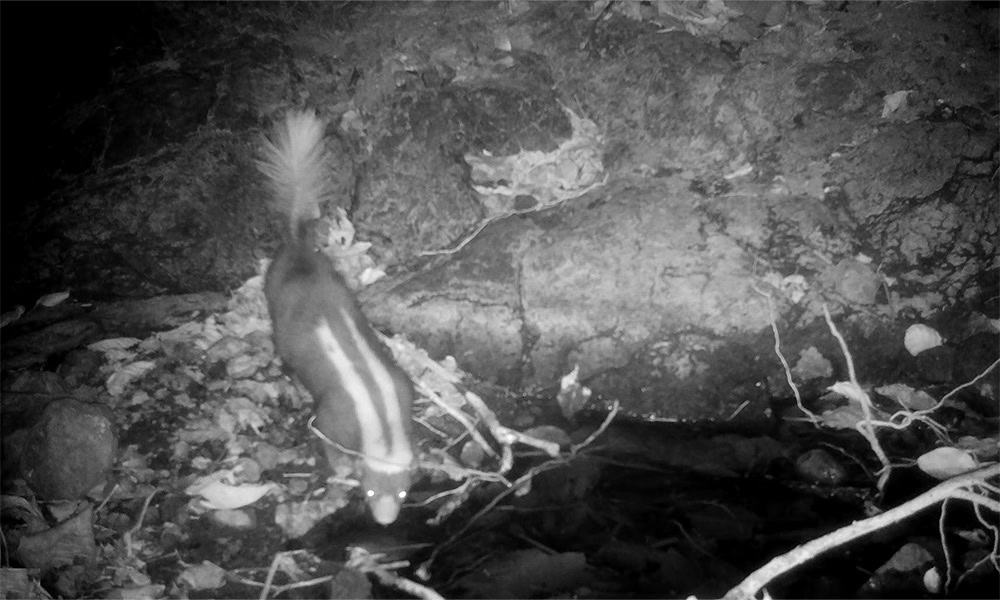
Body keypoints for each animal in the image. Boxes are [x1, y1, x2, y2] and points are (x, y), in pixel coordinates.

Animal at [260, 110, 416, 524]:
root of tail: (299, 250)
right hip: (275, 300)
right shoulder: (337, 415)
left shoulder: (402, 389)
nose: (385, 520)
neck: (382, 417)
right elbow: (325, 435)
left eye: (403, 492)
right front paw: (341, 465)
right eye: (370, 489)